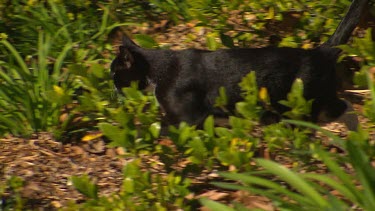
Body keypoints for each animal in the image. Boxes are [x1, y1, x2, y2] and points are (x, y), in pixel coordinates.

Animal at [110, 0, 368, 130]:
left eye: (114, 73)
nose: (112, 88)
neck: (159, 70)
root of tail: (322, 51)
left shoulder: (186, 115)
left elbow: (166, 126)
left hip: (306, 105)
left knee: (345, 108)